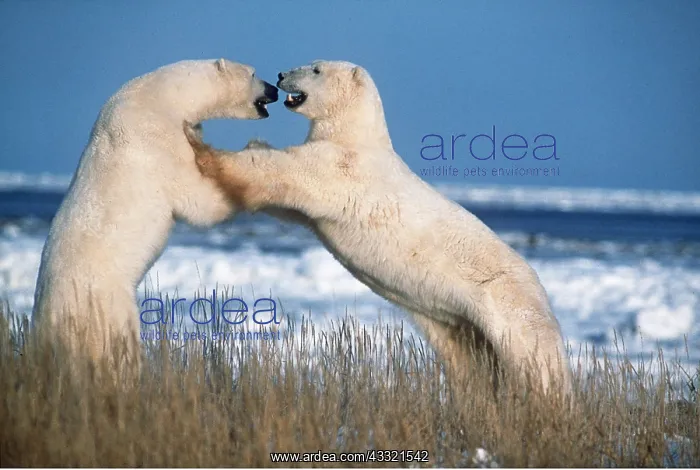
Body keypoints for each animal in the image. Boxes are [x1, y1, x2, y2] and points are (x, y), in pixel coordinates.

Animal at [32, 59, 278, 371]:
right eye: (253, 73)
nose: (274, 89)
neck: (162, 95)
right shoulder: (158, 140)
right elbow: (198, 201)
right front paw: (254, 149)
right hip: (104, 308)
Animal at [186, 60, 573, 396]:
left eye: (315, 68)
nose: (281, 74)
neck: (357, 136)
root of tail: (540, 288)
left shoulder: (341, 168)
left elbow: (274, 171)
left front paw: (197, 142)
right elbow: (286, 206)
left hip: (508, 304)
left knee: (535, 361)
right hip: (460, 326)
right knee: (470, 364)